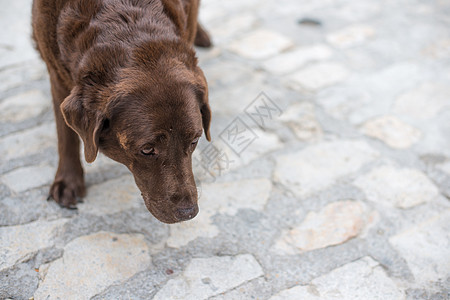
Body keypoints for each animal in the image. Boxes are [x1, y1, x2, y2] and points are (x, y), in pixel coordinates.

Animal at [32, 0, 212, 224]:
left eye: (194, 141)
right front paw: (68, 181)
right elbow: (66, 136)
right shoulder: (56, 72)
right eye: (147, 150)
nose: (188, 212)